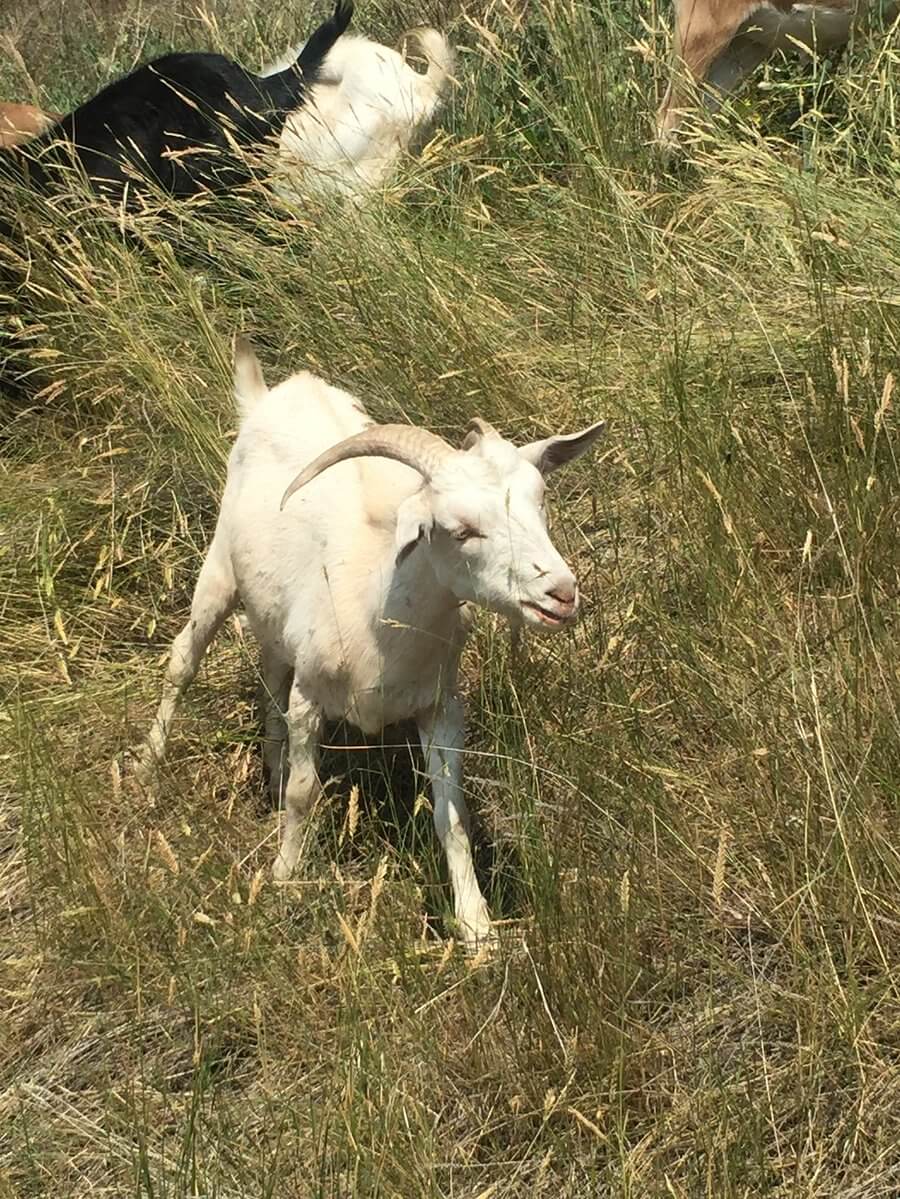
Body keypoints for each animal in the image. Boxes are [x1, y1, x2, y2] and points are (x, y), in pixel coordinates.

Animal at [135, 339, 606, 948]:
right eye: (460, 530)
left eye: (540, 502)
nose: (561, 593)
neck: (377, 608)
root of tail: (279, 392)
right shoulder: (312, 696)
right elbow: (305, 793)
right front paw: (285, 877)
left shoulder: (441, 706)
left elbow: (450, 816)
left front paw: (476, 926)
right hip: (218, 571)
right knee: (183, 662)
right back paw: (147, 769)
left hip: (274, 612)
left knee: (270, 674)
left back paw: (269, 770)